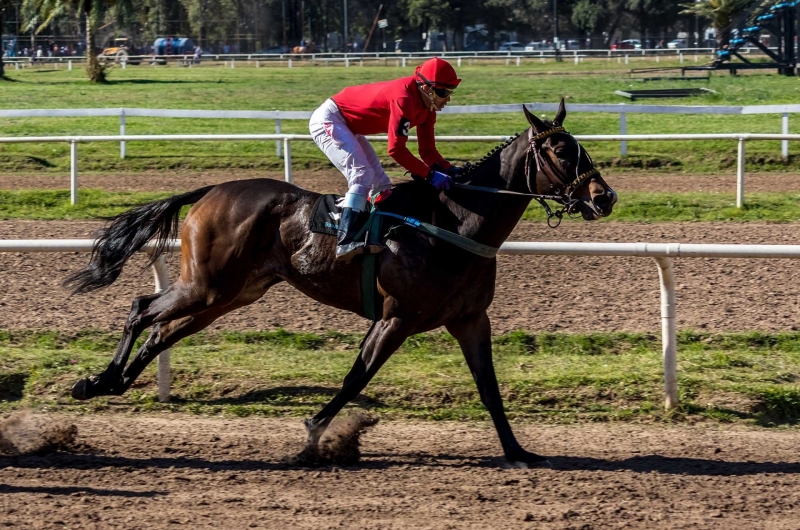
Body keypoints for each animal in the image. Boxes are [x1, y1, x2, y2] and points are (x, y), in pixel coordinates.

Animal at [67, 98, 620, 462]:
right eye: (562, 152)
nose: (605, 197)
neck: (455, 224)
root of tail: (210, 191)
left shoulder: (469, 318)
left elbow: (489, 387)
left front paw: (519, 450)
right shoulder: (396, 317)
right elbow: (358, 376)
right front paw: (315, 434)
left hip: (228, 295)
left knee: (162, 331)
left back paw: (111, 382)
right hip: (208, 286)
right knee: (142, 308)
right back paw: (96, 381)